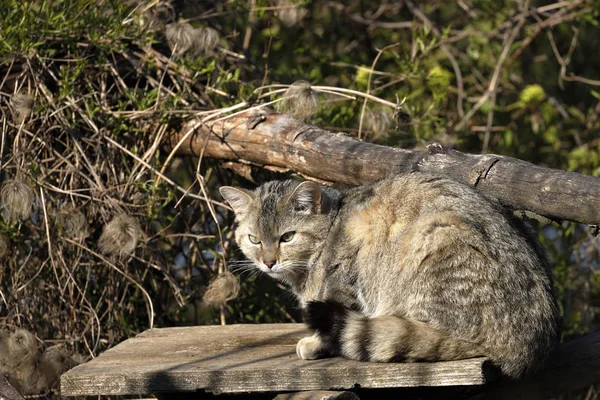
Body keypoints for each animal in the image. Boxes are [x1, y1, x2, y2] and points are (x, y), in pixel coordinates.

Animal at [220, 172, 564, 378]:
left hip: (434, 236)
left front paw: (315, 343)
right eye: (254, 239)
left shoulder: (347, 277)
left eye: (287, 237)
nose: (268, 262)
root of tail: (527, 348)